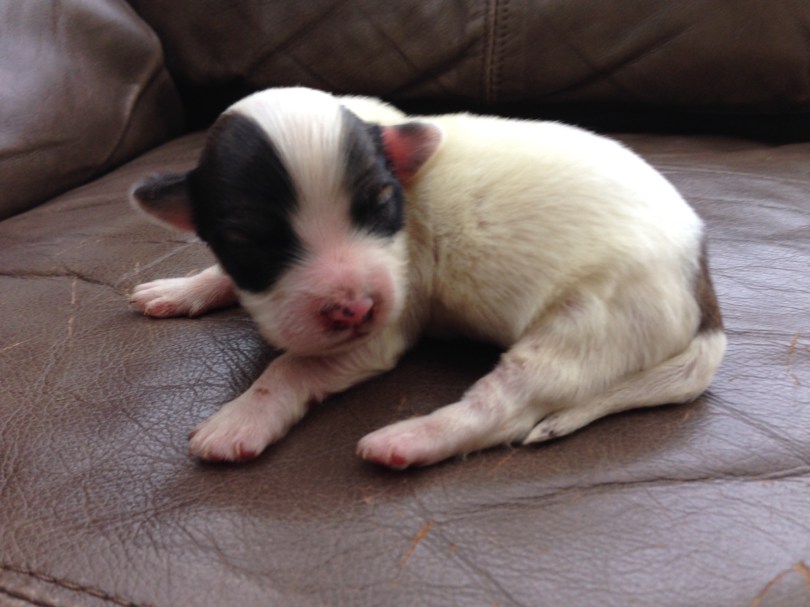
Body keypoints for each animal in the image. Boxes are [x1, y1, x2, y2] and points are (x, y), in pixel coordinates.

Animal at [130, 87, 725, 469]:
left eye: (380, 205)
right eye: (250, 242)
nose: (353, 308)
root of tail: (701, 284)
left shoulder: (383, 327)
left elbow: (290, 366)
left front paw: (240, 418)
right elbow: (223, 278)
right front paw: (182, 288)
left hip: (585, 326)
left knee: (503, 409)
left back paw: (409, 439)